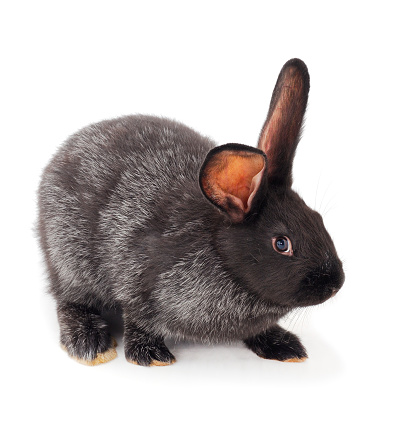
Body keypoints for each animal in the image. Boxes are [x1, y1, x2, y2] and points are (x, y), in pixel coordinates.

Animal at [37, 58, 344, 368]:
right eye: (281, 243)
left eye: (318, 219)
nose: (336, 283)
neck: (221, 259)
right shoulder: (137, 281)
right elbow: (138, 319)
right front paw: (150, 355)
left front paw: (283, 345)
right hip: (70, 260)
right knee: (70, 300)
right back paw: (90, 342)